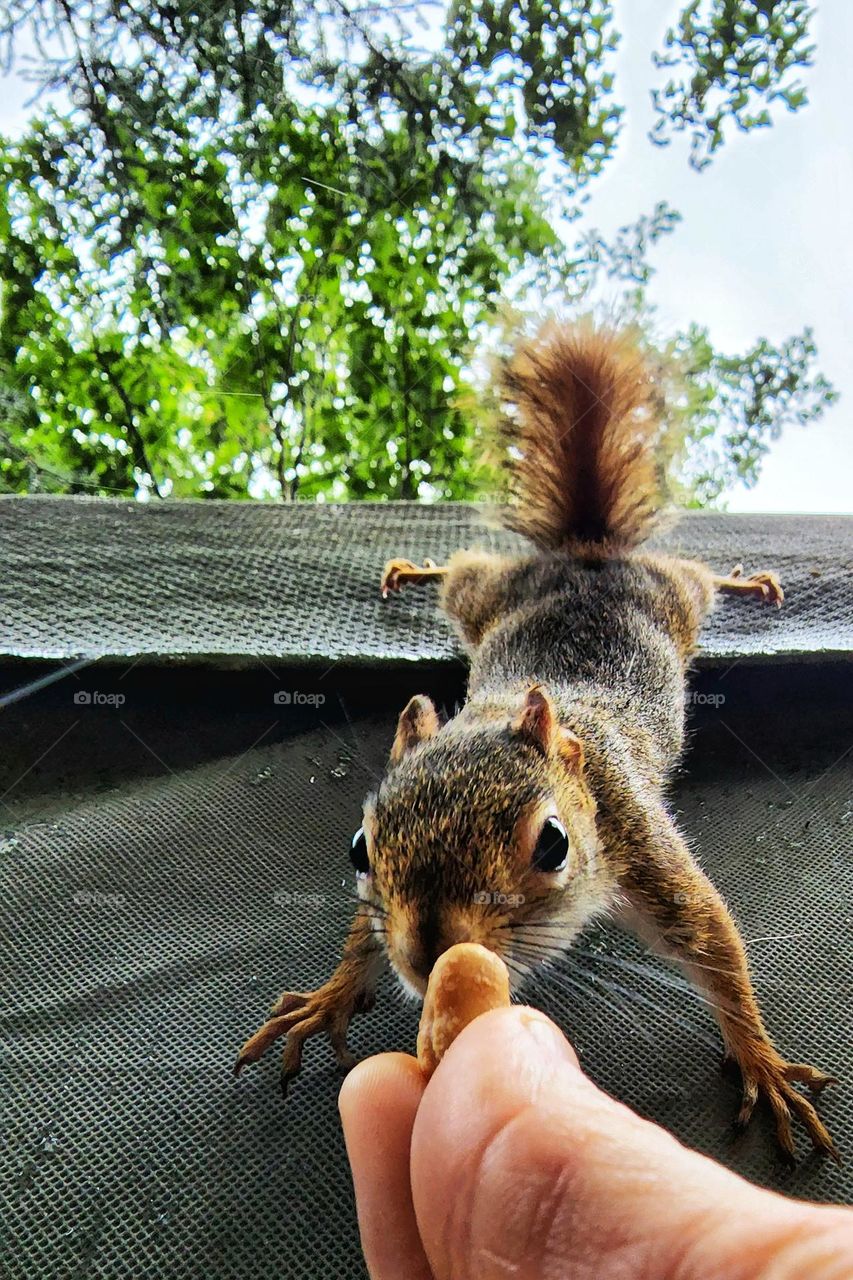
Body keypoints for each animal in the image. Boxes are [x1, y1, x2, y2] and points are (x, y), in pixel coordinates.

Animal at [236, 318, 838, 1165]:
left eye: (553, 844)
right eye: (359, 849)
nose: (429, 954)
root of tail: (586, 553)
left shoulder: (636, 838)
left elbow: (715, 942)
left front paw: (762, 1063)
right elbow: (363, 932)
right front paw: (330, 997)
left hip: (673, 596)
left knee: (695, 573)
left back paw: (744, 581)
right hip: (489, 596)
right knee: (465, 571)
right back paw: (418, 569)